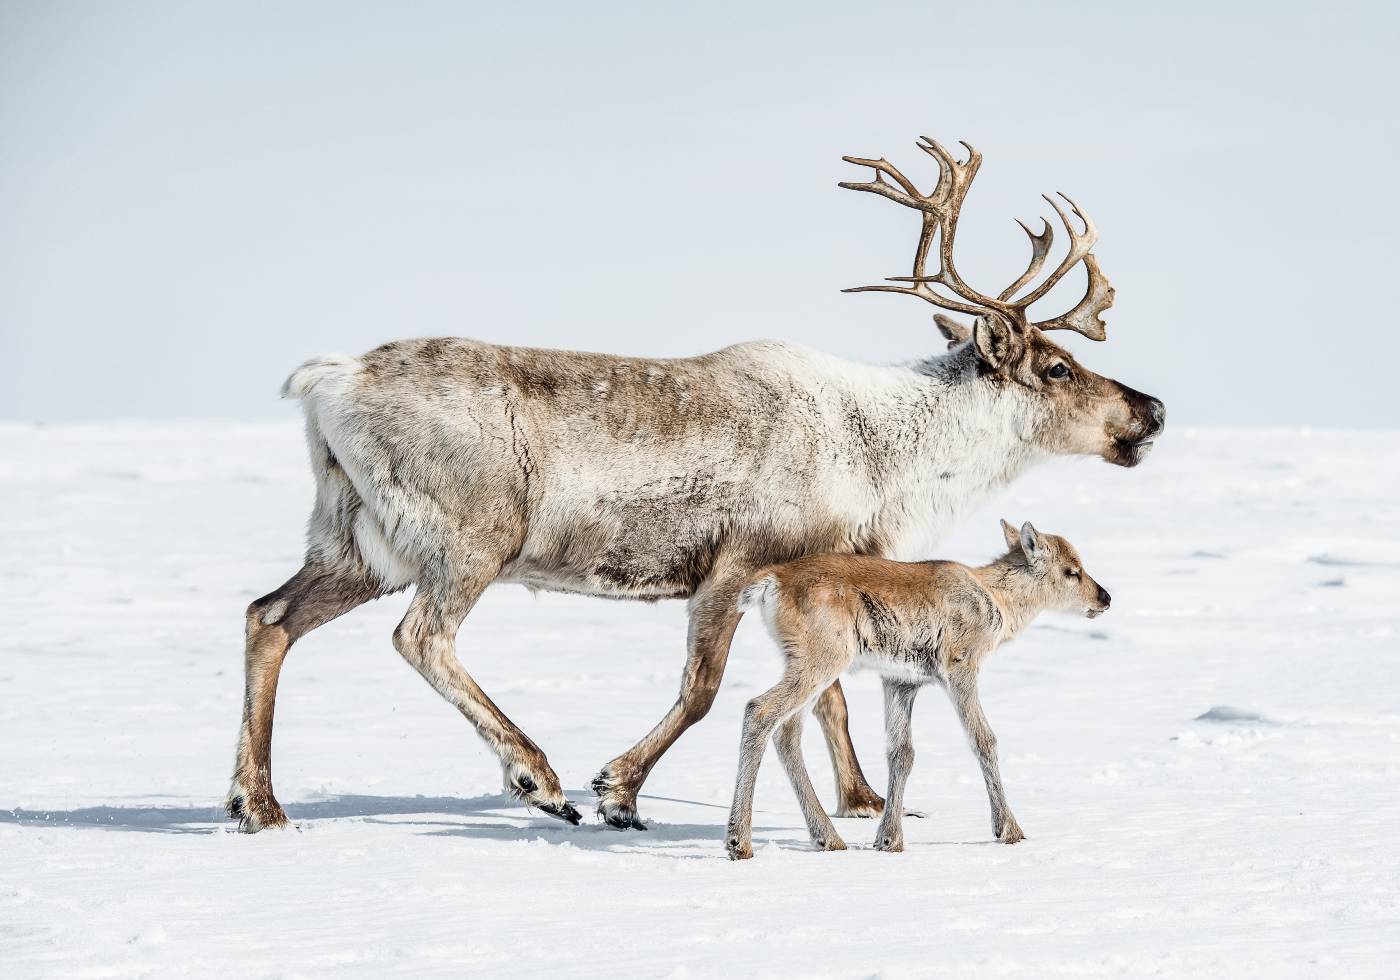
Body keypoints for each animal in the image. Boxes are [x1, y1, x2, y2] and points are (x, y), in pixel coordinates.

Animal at [724, 520, 1111, 860]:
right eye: (1072, 571)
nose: (1105, 597)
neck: (997, 599)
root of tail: (771, 582)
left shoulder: (901, 682)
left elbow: (902, 753)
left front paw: (889, 840)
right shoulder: (961, 668)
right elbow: (983, 739)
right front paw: (1009, 830)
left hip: (808, 666)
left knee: (787, 731)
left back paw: (828, 838)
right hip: (821, 660)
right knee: (759, 710)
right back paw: (739, 842)